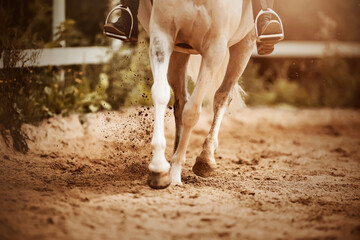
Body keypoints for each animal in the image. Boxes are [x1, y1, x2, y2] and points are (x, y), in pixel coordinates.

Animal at [136, 0, 255, 188]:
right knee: (181, 101)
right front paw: (159, 167)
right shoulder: (162, 34)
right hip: (179, 52)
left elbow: (192, 112)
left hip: (245, 44)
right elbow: (161, 94)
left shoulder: (215, 49)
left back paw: (206, 159)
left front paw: (175, 172)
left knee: (222, 97)